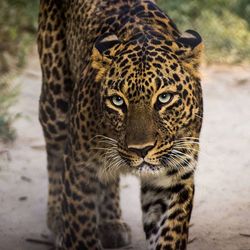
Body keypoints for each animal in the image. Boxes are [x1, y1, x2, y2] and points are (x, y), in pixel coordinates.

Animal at [38, 0, 204, 250]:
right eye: (118, 101)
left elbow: (169, 234)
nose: (141, 150)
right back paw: (56, 220)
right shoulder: (79, 167)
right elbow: (80, 227)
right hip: (55, 98)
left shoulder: (173, 177)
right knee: (55, 152)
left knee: (107, 174)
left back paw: (110, 223)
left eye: (164, 98)